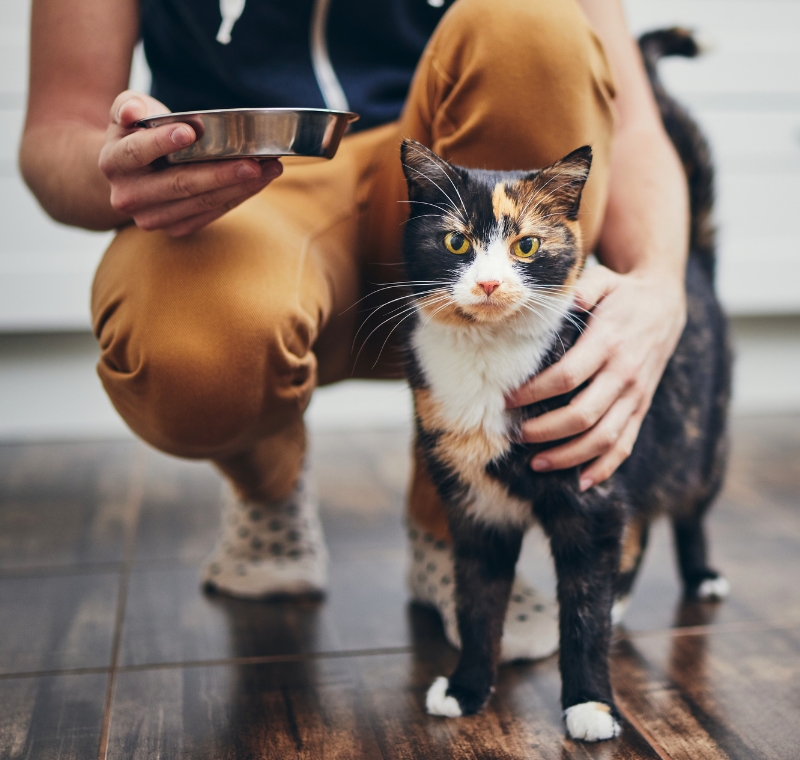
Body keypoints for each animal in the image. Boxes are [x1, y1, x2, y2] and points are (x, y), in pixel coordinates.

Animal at [400, 29, 732, 744]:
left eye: (525, 246)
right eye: (456, 242)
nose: (489, 283)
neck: (488, 360)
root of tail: (693, 263)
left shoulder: (592, 492)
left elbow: (581, 611)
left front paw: (590, 705)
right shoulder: (475, 506)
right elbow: (477, 601)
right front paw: (466, 688)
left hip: (702, 438)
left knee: (688, 509)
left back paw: (700, 574)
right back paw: (625, 598)